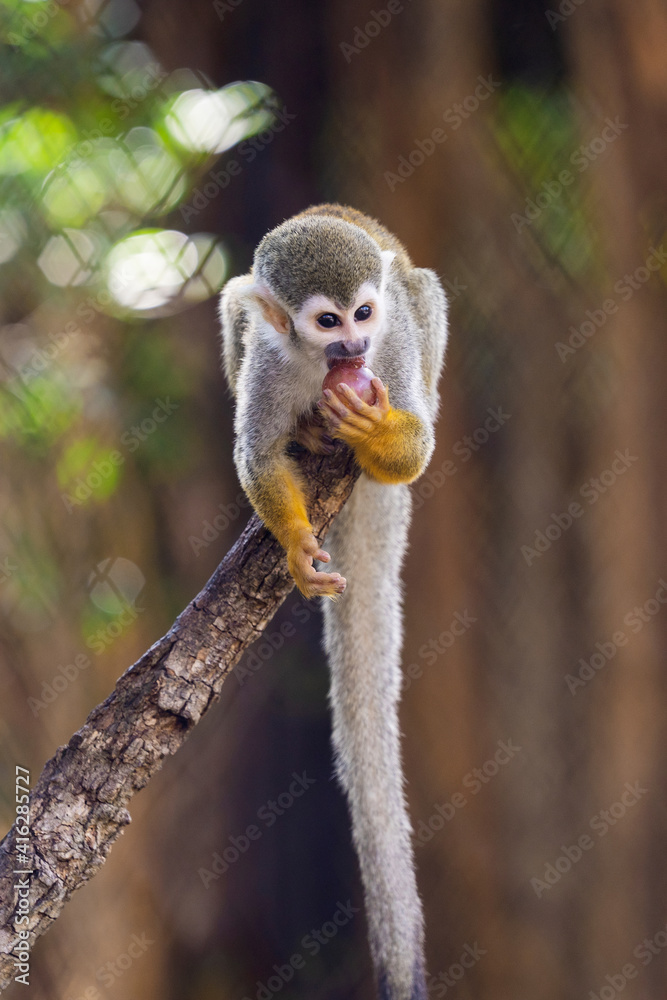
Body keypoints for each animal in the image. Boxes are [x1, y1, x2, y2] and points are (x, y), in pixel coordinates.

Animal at [219, 204, 448, 1000]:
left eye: (362, 313)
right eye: (326, 322)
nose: (352, 345)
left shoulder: (393, 341)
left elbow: (418, 448)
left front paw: (383, 433)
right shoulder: (271, 357)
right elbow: (256, 455)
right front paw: (293, 546)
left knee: (422, 291)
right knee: (234, 300)